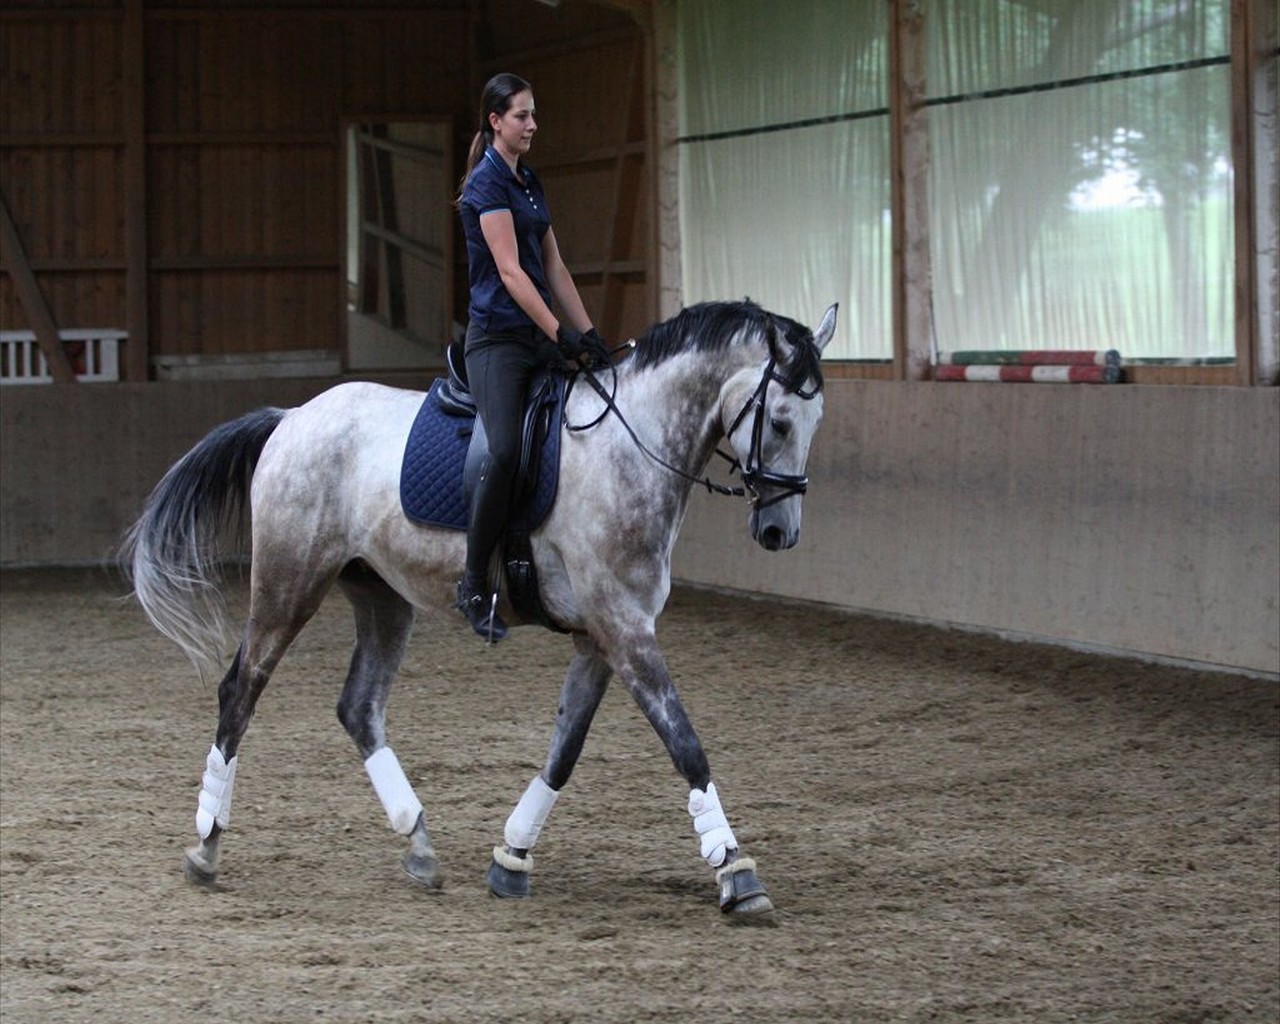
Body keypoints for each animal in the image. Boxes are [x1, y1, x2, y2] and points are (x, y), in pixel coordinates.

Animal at [122, 295, 839, 921]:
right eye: (779, 420)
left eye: (815, 422)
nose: (780, 532)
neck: (630, 448)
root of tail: (293, 415)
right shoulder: (623, 628)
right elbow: (685, 743)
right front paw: (736, 873)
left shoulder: (601, 636)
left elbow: (565, 749)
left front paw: (512, 857)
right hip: (288, 582)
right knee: (241, 689)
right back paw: (208, 844)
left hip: (381, 596)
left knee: (359, 707)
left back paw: (417, 842)